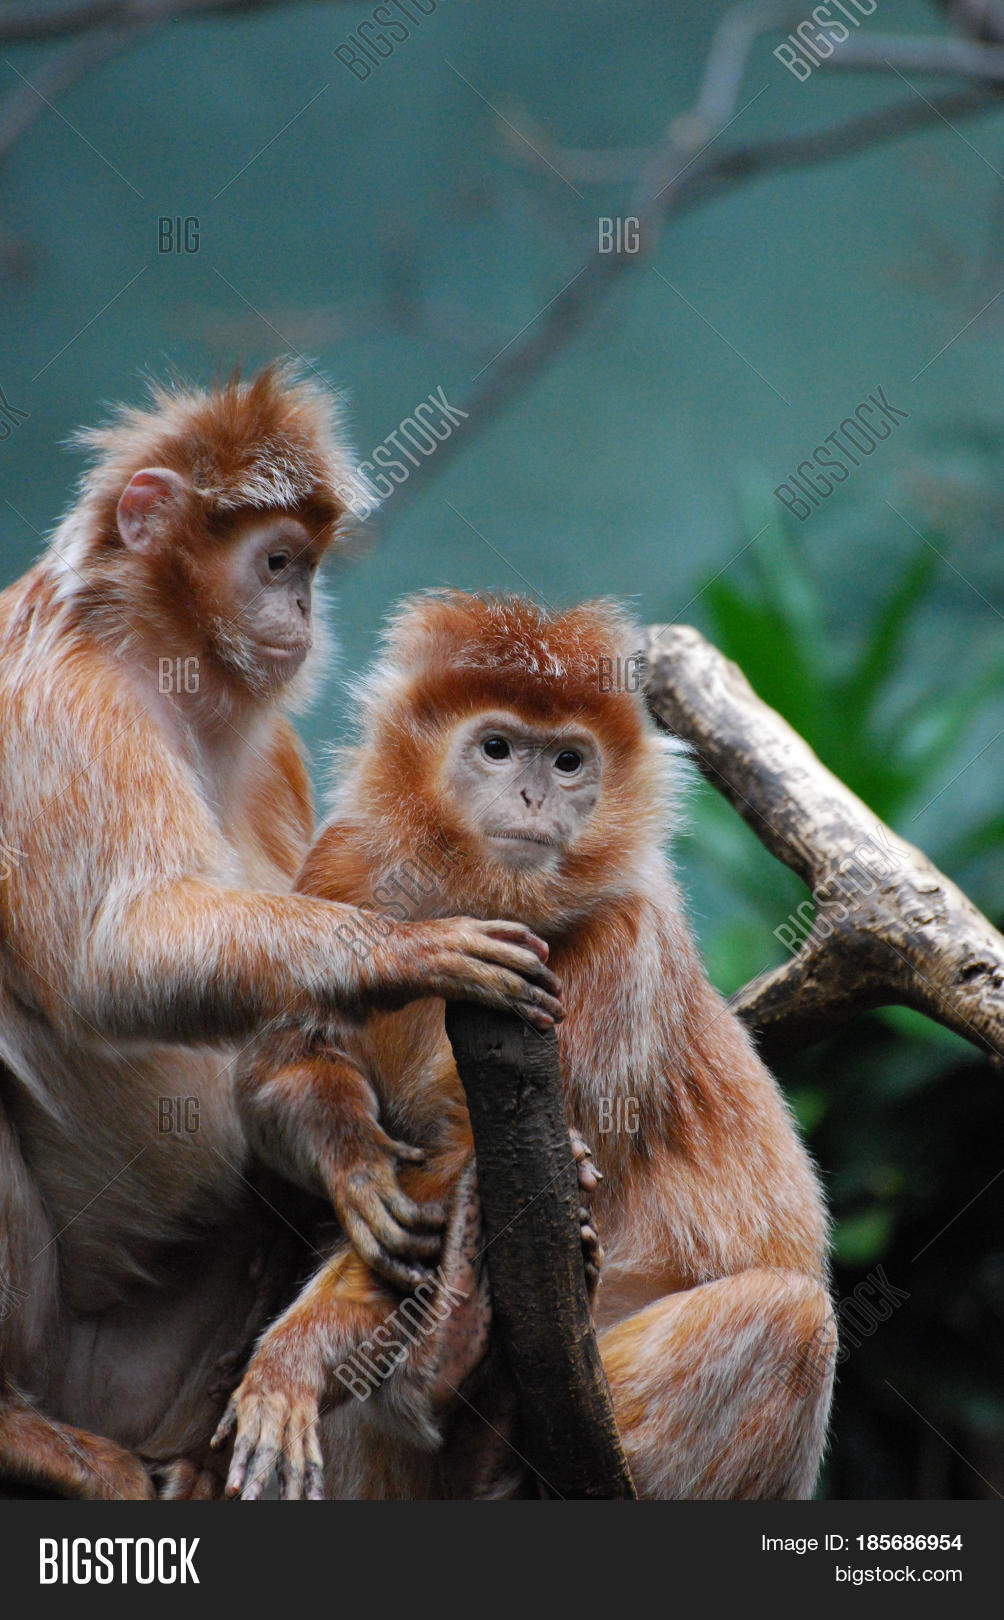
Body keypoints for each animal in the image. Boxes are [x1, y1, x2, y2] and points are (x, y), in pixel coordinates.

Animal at [0, 383, 562, 1500]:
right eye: (274, 563)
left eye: (303, 567)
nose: (303, 612)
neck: (154, 665)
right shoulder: (64, 700)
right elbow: (108, 955)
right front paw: (407, 948)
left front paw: (350, 1155)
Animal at [216, 591, 836, 1501]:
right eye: (498, 747)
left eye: (569, 761)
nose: (535, 796)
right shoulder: (347, 859)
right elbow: (275, 1069)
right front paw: (357, 1165)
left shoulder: (626, 937)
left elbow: (476, 1155)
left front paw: (290, 1360)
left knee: (793, 1319)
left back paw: (485, 1426)